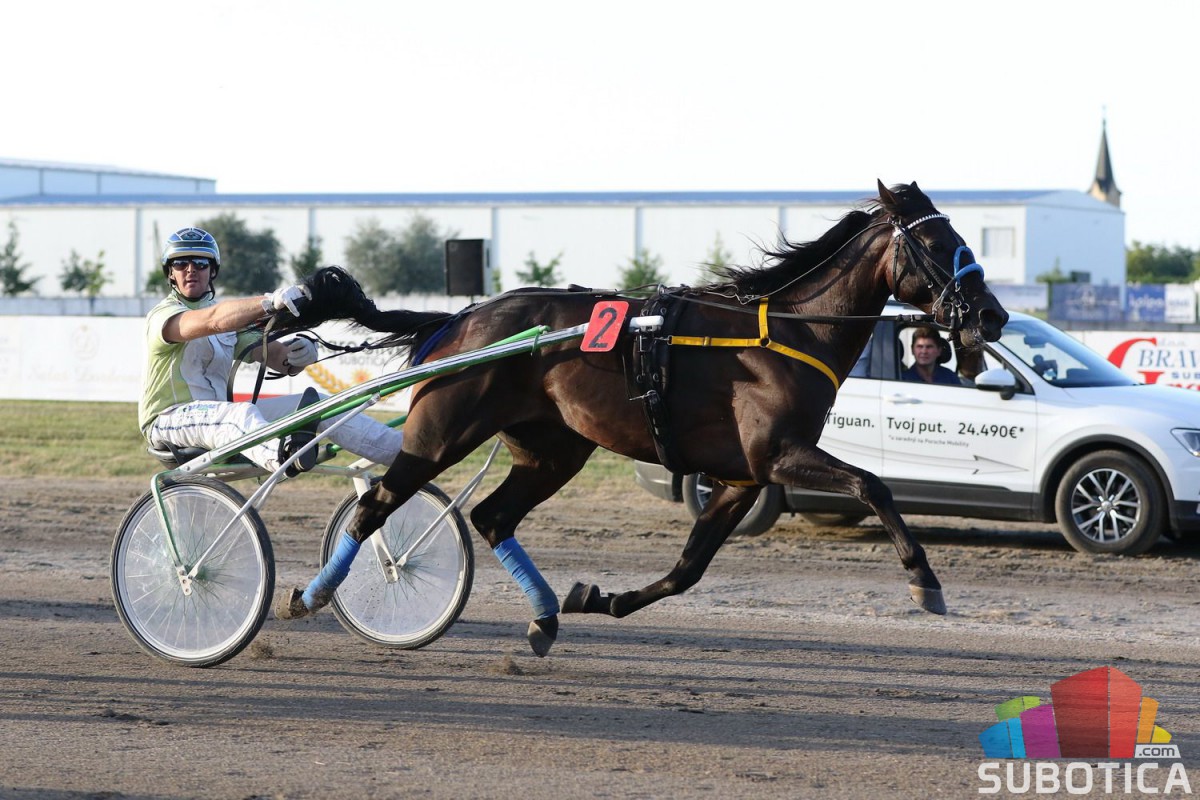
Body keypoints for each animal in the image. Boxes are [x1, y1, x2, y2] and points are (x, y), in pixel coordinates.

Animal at [274, 180, 1009, 657]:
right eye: (937, 242)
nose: (992, 314)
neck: (786, 332)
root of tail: (459, 319)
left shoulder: (741, 478)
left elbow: (688, 570)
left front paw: (598, 599)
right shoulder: (776, 454)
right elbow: (873, 485)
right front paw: (925, 582)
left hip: (553, 450)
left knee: (492, 516)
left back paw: (545, 617)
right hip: (441, 433)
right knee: (376, 506)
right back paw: (311, 596)